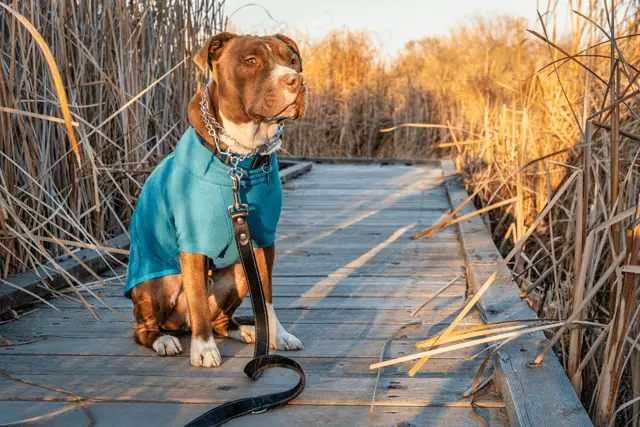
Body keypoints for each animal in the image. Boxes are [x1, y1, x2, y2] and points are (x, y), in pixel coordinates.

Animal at [129, 33, 306, 368]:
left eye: (292, 61)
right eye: (251, 61)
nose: (296, 80)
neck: (241, 157)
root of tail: (179, 325)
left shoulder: (263, 240)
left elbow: (267, 294)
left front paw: (277, 335)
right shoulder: (193, 245)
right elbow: (198, 300)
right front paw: (204, 349)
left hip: (238, 272)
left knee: (222, 319)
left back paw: (246, 330)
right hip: (157, 285)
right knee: (144, 328)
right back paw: (164, 340)